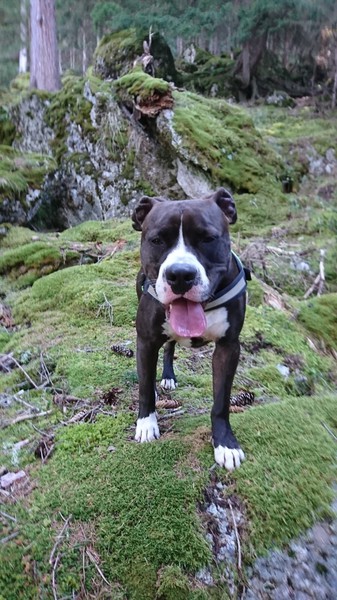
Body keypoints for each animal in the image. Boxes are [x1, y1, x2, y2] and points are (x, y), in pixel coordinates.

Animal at [131, 188, 247, 468]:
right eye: (157, 240)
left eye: (208, 239)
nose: (181, 275)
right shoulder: (145, 340)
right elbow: (144, 388)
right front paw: (146, 424)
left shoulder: (229, 347)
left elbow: (221, 401)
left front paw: (225, 443)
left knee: (171, 346)